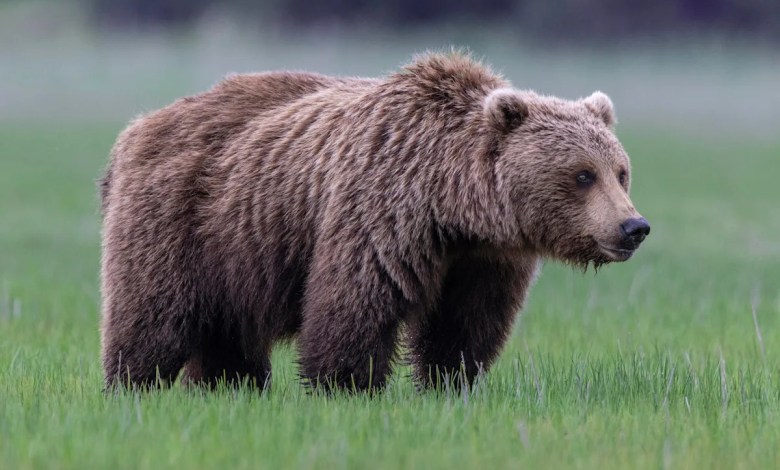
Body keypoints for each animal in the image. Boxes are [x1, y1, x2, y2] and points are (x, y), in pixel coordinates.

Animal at [99, 51, 649, 392]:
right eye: (582, 174)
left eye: (620, 171)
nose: (633, 227)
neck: (452, 207)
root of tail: (134, 129)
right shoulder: (380, 211)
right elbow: (355, 305)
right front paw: (346, 384)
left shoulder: (482, 260)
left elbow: (465, 325)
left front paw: (450, 381)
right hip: (183, 219)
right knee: (153, 316)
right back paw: (133, 384)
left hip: (235, 250)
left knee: (227, 332)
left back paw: (229, 385)